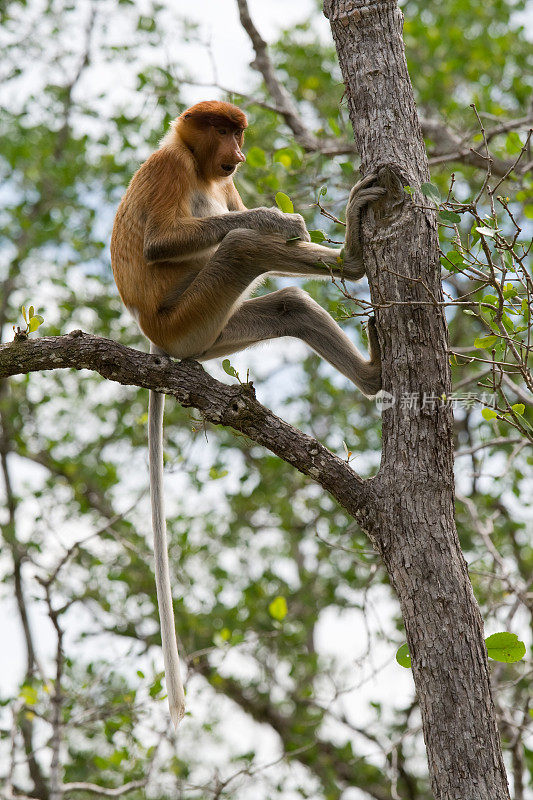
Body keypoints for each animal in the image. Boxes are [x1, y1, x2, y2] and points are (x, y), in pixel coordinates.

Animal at [110, 100, 384, 724]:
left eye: (239, 133)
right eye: (223, 129)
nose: (236, 153)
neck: (197, 165)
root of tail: (158, 339)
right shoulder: (166, 169)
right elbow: (161, 244)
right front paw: (277, 218)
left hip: (213, 334)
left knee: (288, 304)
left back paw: (367, 347)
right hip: (189, 318)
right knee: (239, 247)